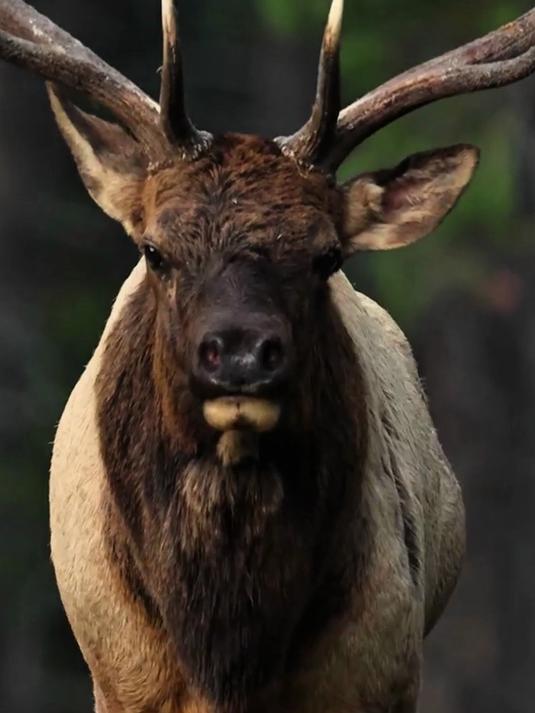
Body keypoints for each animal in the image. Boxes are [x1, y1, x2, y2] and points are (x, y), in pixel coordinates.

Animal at [1, 0, 534, 711]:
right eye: (154, 250)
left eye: (326, 255)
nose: (241, 353)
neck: (229, 657)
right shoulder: (119, 677)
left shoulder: (383, 668)